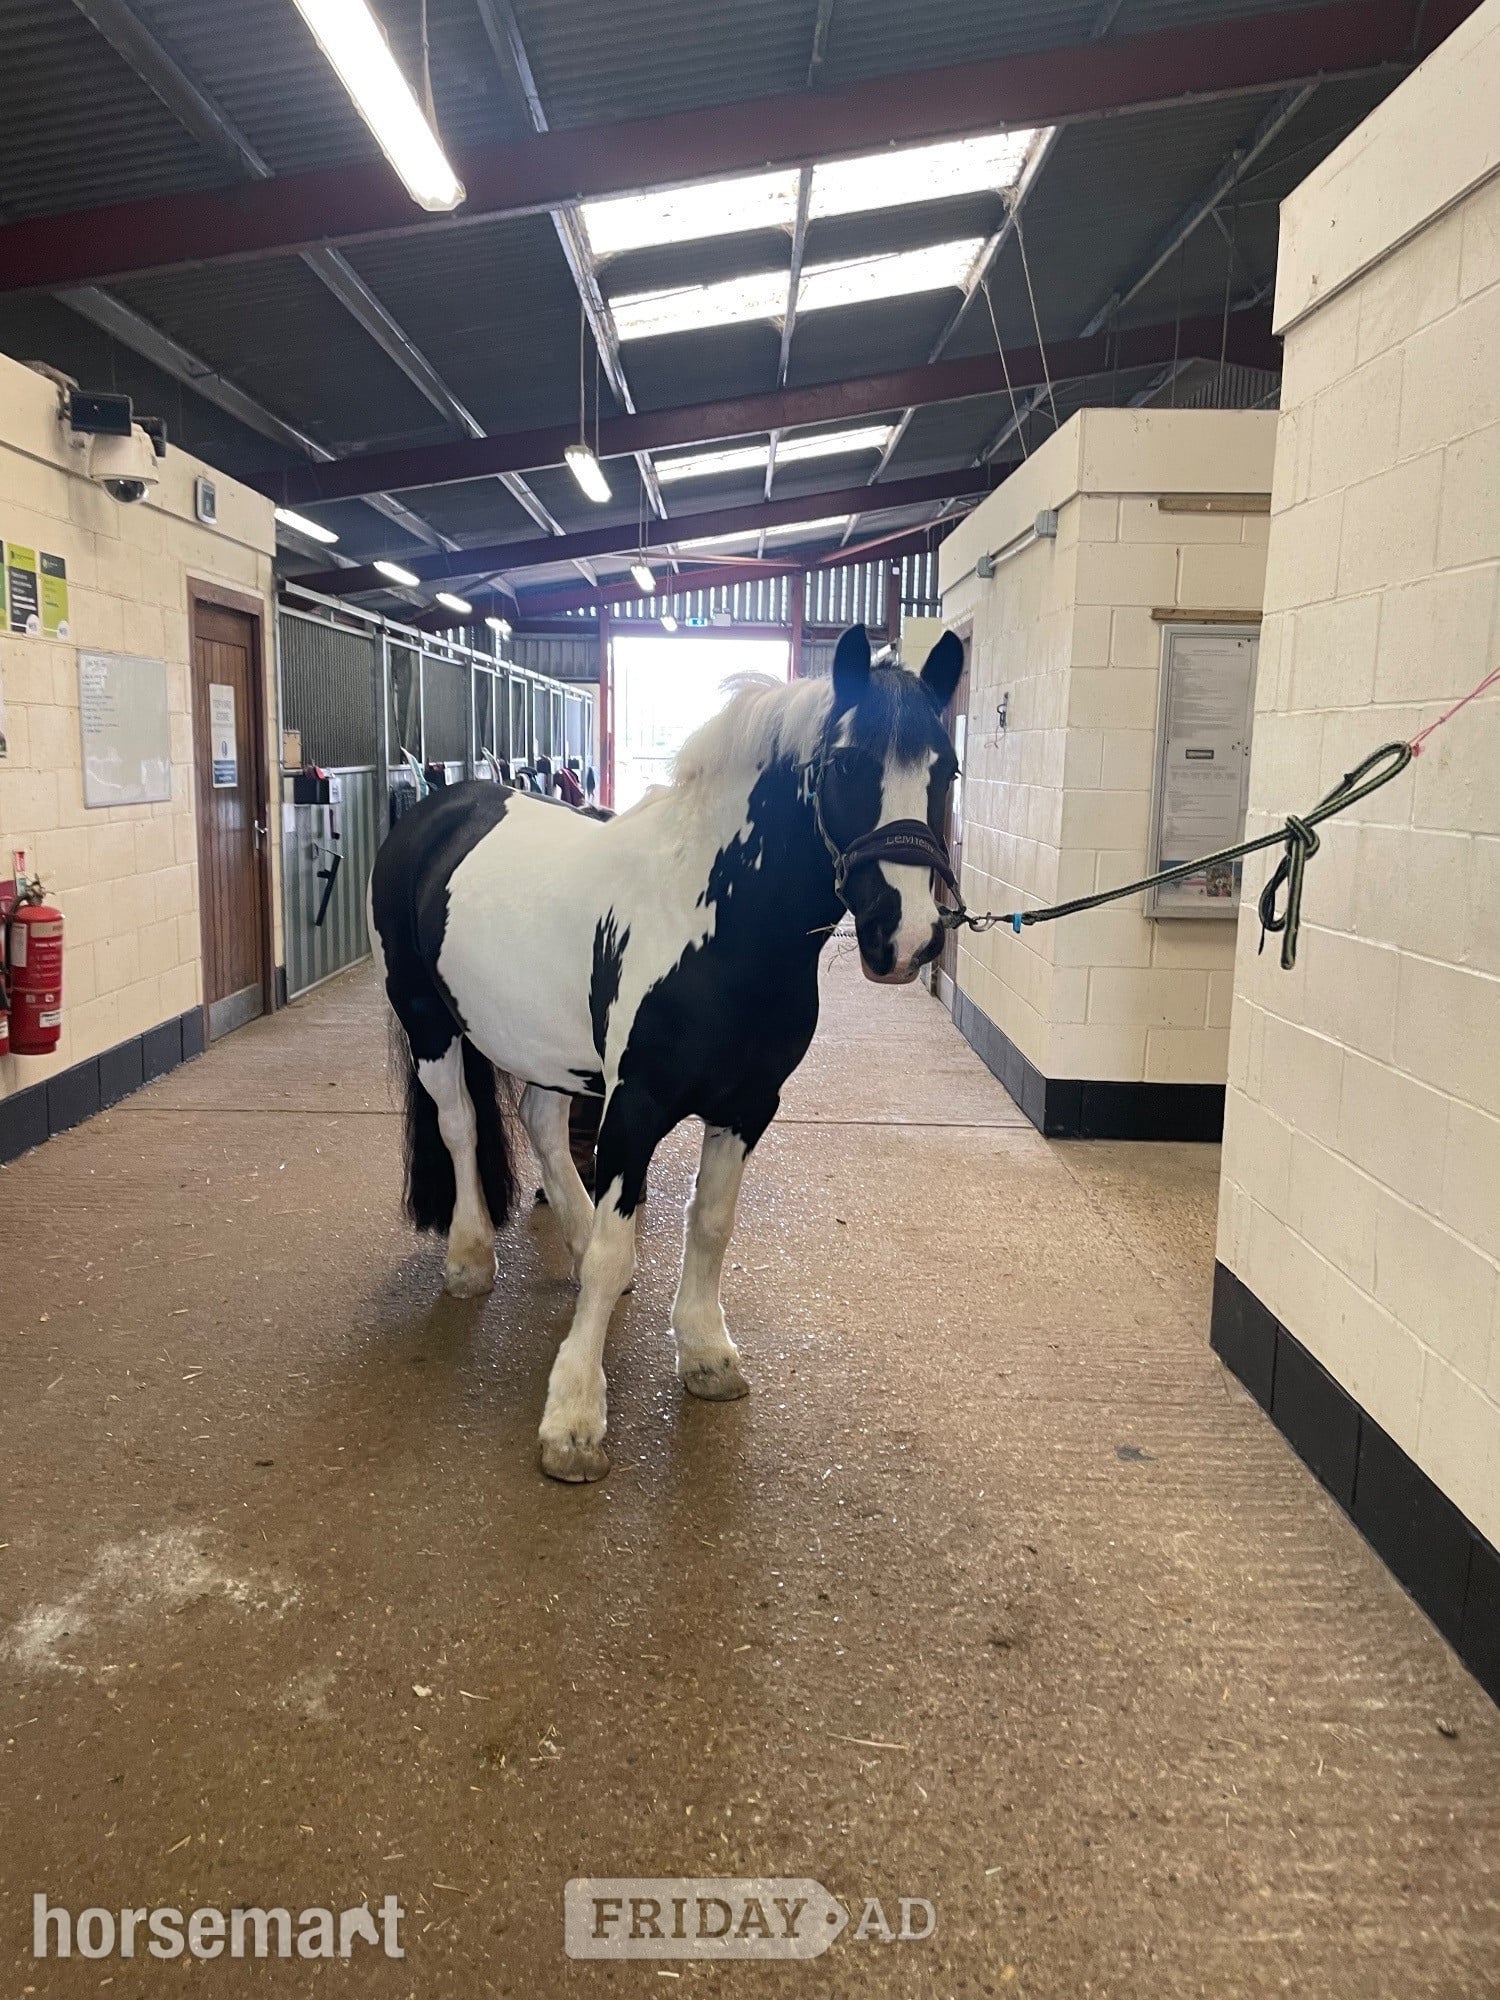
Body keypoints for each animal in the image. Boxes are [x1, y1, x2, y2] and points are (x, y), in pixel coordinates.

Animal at [368, 623, 964, 1481]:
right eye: (849, 763)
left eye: (946, 769)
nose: (907, 936)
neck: (716, 922)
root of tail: (439, 807)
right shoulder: (637, 1103)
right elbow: (621, 1244)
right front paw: (574, 1418)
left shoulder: (748, 1105)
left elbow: (709, 1224)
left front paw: (707, 1355)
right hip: (428, 1021)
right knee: (461, 1126)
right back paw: (471, 1258)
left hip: (549, 1046)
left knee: (539, 1121)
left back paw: (573, 1239)